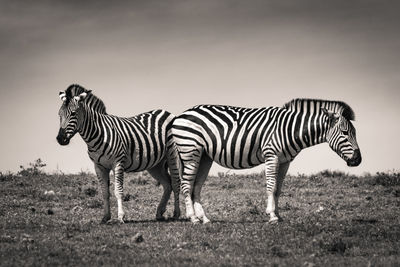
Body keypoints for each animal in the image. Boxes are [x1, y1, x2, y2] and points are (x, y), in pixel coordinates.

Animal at [56, 84, 181, 224]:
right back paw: (159, 213)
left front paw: (121, 217)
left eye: (73, 113)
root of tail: (166, 112)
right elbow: (105, 192)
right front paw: (105, 217)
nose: (60, 139)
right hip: (155, 164)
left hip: (172, 154)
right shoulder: (99, 166)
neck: (98, 133)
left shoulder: (118, 162)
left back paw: (176, 214)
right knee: (167, 184)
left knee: (175, 182)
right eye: (59, 115)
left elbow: (118, 191)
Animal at [170, 99, 360, 225]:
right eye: (345, 133)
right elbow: (271, 186)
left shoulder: (285, 161)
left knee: (196, 186)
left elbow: (278, 189)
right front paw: (272, 216)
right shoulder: (271, 155)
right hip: (190, 151)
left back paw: (204, 218)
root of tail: (181, 114)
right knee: (186, 185)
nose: (358, 160)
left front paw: (278, 215)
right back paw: (193, 218)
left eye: (354, 133)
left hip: (204, 156)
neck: (290, 129)